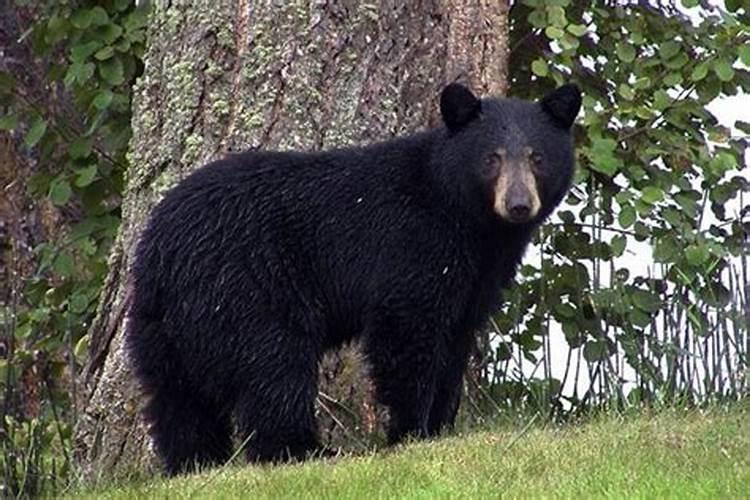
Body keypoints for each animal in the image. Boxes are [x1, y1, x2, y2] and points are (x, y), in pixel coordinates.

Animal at [126, 81, 584, 472]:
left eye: (537, 157)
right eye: (492, 158)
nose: (519, 204)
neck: (468, 219)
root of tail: (160, 251)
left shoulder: (476, 278)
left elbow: (455, 341)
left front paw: (441, 426)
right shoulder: (412, 245)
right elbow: (406, 332)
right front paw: (410, 432)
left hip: (162, 326)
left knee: (177, 398)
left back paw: (195, 461)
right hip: (245, 289)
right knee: (274, 368)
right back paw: (305, 450)